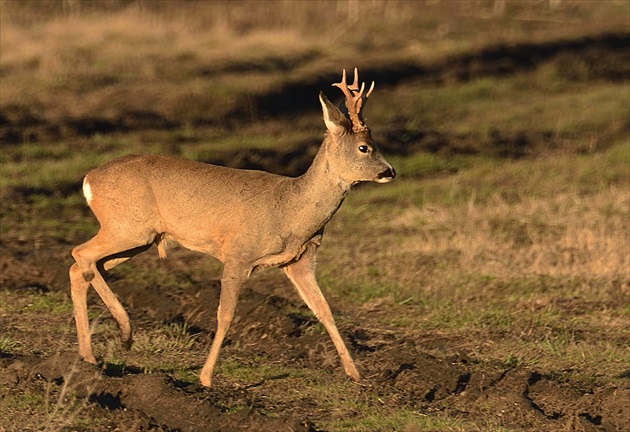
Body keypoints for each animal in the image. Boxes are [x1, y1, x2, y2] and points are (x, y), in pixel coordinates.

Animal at [69, 68, 396, 388]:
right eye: (364, 148)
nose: (390, 171)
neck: (290, 210)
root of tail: (88, 179)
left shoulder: (300, 262)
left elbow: (324, 311)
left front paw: (356, 374)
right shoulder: (239, 254)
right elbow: (225, 315)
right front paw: (205, 378)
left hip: (138, 237)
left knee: (84, 266)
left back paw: (93, 353)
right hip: (128, 227)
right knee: (80, 255)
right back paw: (119, 336)